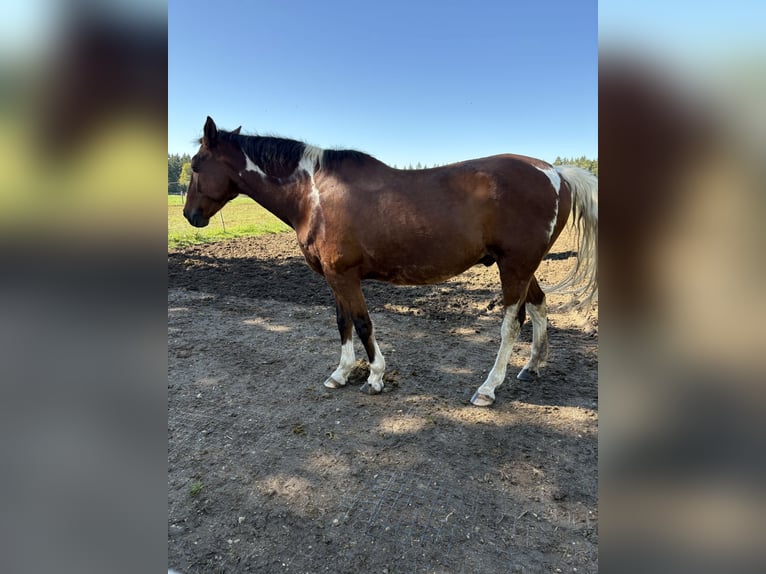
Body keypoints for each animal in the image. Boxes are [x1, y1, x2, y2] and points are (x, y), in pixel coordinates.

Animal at [183, 117, 597, 406]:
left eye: (196, 164)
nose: (189, 215)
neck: (313, 194)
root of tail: (556, 172)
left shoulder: (345, 276)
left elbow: (363, 323)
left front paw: (375, 377)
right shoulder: (333, 277)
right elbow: (343, 323)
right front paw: (341, 373)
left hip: (514, 266)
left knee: (512, 323)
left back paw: (488, 388)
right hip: (523, 266)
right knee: (540, 305)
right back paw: (532, 367)